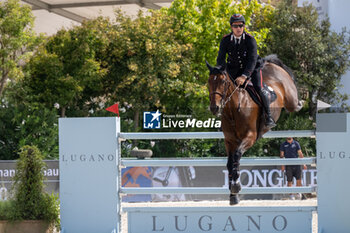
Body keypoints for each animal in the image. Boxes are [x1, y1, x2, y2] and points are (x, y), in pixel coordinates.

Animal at [206, 54, 302, 204]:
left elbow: (237, 156)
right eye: (209, 82)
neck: (234, 110)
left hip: (289, 97)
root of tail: (268, 63)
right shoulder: (230, 141)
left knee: (293, 104)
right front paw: (233, 195)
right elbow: (230, 163)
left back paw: (301, 103)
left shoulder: (250, 137)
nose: (214, 108)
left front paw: (236, 186)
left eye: (223, 82)